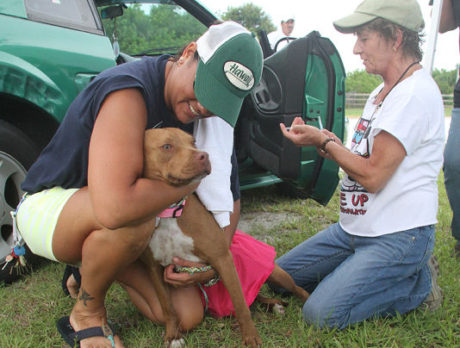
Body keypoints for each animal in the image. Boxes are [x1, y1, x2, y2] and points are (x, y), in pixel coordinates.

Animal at [142, 128, 310, 348]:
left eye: (193, 142)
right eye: (167, 146)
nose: (204, 155)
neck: (170, 212)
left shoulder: (222, 259)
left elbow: (240, 304)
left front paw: (250, 337)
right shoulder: (153, 268)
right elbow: (166, 306)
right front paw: (172, 335)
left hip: (277, 274)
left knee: (293, 289)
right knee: (254, 298)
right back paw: (273, 306)